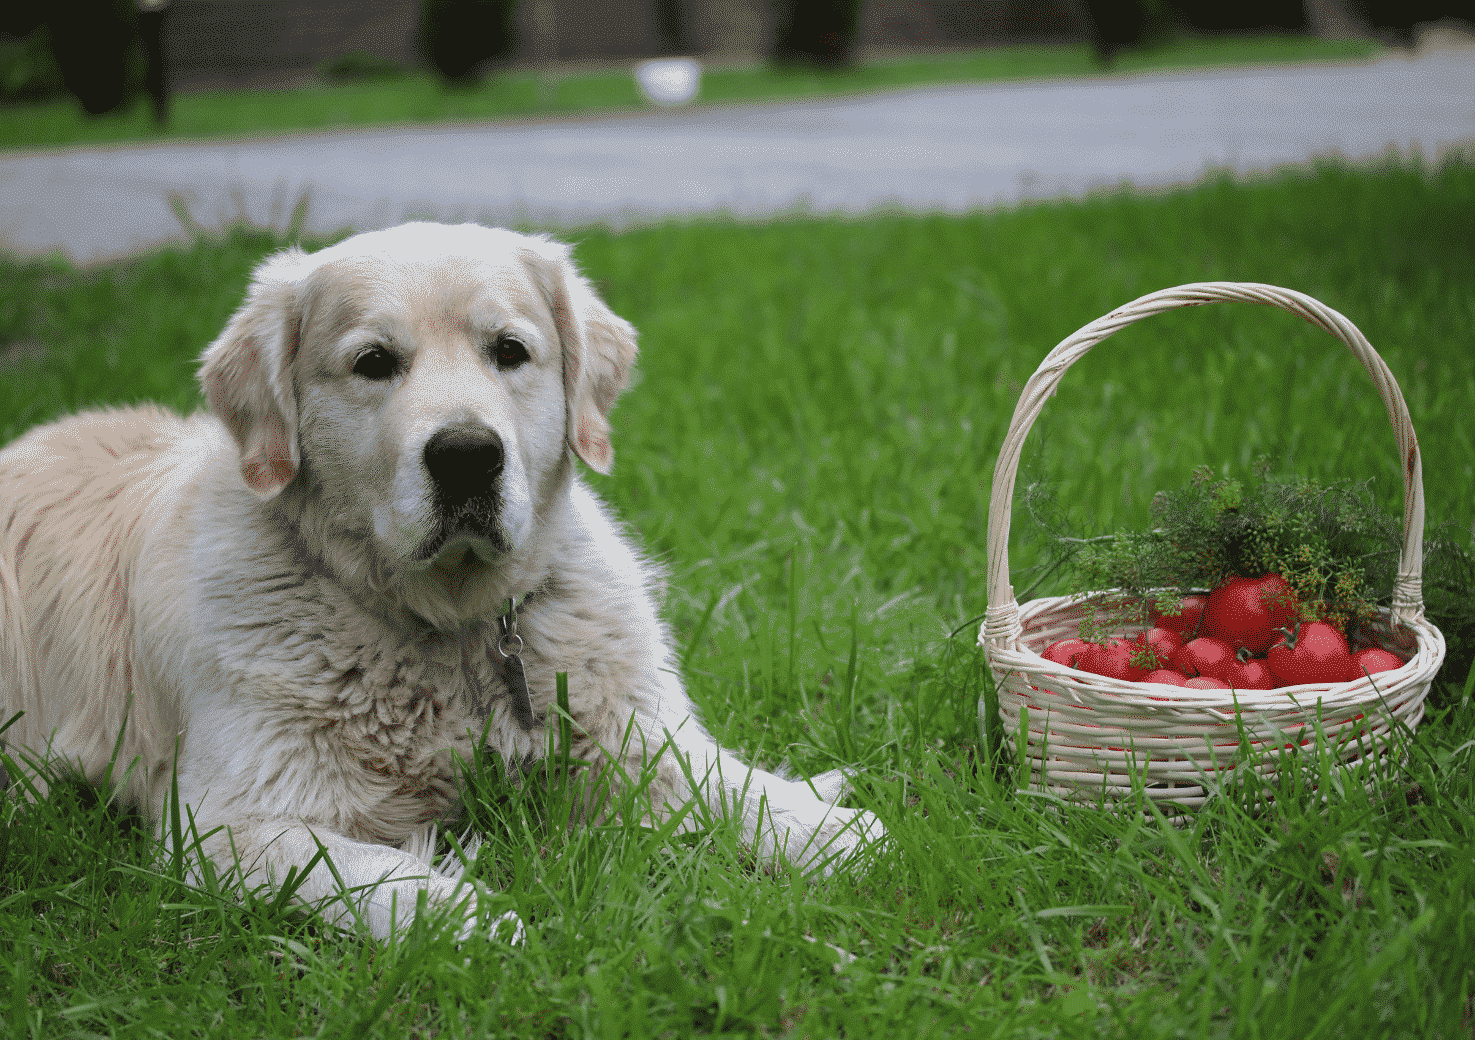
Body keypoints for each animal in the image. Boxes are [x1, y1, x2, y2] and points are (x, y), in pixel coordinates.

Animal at [0, 221, 879, 944]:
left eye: (509, 351)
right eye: (373, 364)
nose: (465, 456)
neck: (454, 629)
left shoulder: (630, 738)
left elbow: (729, 787)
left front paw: (833, 832)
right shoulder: (225, 823)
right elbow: (366, 872)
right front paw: (468, 914)